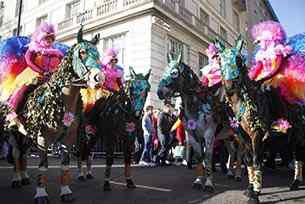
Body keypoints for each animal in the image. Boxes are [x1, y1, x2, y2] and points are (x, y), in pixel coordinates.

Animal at [0, 26, 103, 203]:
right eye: (82, 52)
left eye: (98, 54)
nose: (99, 78)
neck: (61, 100)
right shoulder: (43, 138)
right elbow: (43, 165)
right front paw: (41, 194)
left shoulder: (68, 139)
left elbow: (65, 165)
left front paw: (66, 192)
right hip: (13, 132)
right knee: (16, 153)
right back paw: (16, 179)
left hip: (28, 135)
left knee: (22, 153)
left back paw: (24, 177)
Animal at [157, 52, 218, 191]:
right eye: (164, 70)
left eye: (174, 72)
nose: (159, 92)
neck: (197, 104)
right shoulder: (192, 135)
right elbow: (200, 157)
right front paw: (198, 180)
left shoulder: (209, 134)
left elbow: (207, 157)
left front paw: (208, 183)